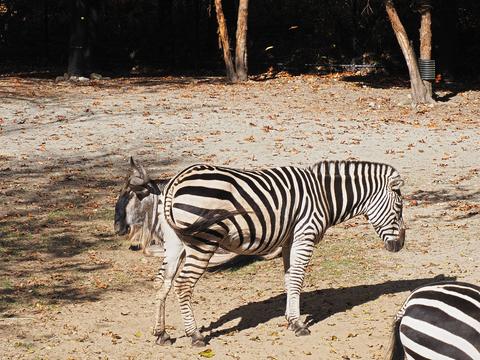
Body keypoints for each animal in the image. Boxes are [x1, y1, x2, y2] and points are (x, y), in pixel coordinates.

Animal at [147, 160, 404, 346]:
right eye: (399, 208)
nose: (400, 245)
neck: (324, 196)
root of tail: (176, 180)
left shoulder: (290, 241)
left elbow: (290, 279)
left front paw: (291, 320)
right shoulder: (304, 235)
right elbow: (298, 279)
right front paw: (299, 325)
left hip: (174, 241)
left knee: (163, 282)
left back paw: (161, 334)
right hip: (204, 241)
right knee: (183, 284)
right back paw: (195, 335)